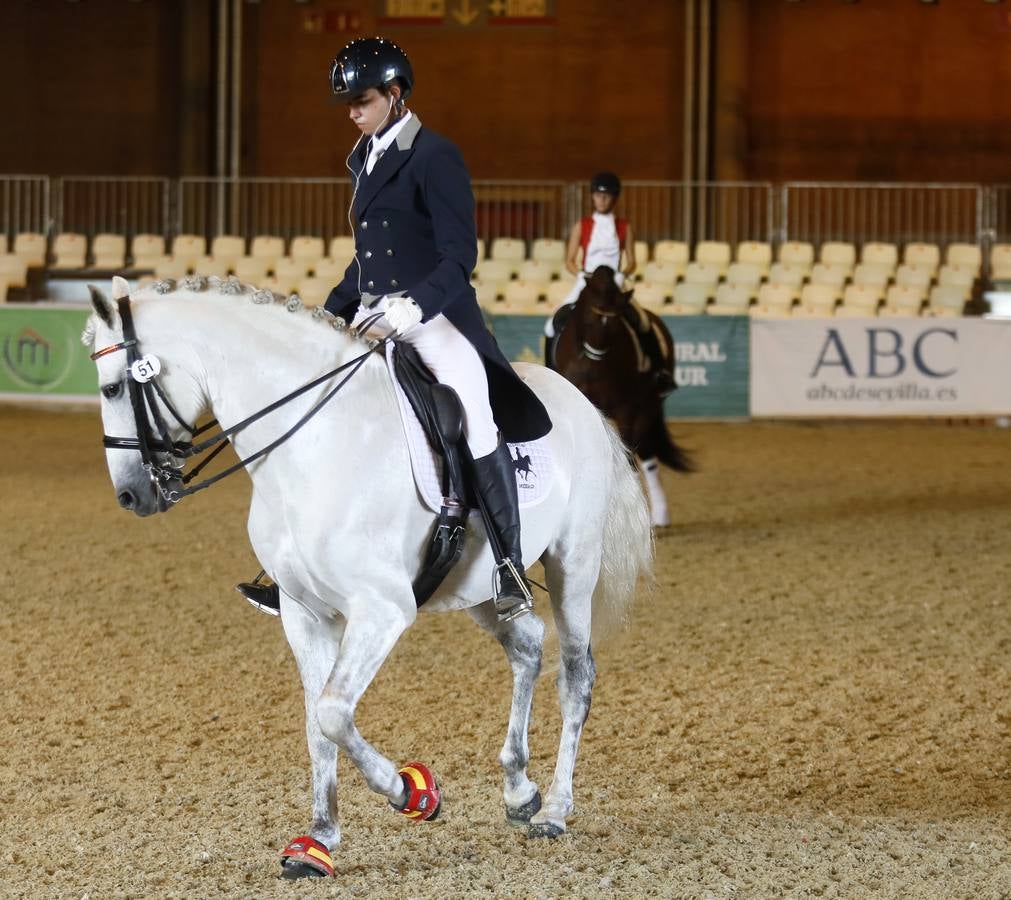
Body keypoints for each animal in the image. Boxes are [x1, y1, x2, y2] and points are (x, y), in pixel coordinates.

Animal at [86, 275, 655, 877]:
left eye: (114, 389)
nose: (131, 496)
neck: (312, 444)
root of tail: (580, 400)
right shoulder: (304, 613)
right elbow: (316, 721)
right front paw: (318, 841)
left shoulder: (382, 611)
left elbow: (334, 712)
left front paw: (414, 792)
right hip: (478, 586)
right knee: (526, 644)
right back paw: (520, 790)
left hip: (575, 563)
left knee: (576, 676)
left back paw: (555, 811)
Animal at [549, 262, 691, 521]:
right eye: (588, 319)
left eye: (616, 326)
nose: (595, 356)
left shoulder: (626, 408)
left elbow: (627, 456)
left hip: (647, 407)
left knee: (644, 453)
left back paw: (658, 514)